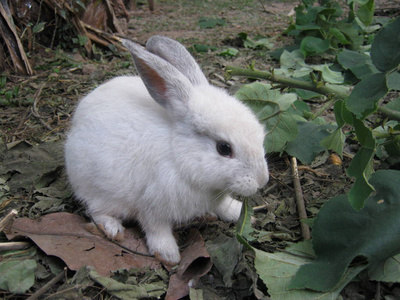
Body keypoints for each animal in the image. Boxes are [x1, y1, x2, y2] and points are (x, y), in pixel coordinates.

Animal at [64, 36, 268, 264]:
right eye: (224, 148)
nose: (262, 180)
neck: (180, 158)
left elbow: (222, 207)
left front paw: (239, 212)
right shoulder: (151, 205)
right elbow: (156, 228)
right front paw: (168, 255)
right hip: (96, 188)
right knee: (95, 210)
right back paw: (112, 228)